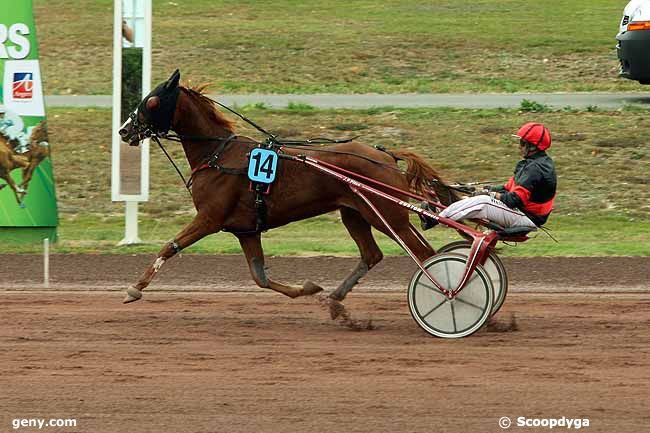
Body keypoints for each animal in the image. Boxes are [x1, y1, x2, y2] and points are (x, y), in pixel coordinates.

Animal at [119, 69, 458, 316]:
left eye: (151, 101)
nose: (124, 130)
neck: (218, 155)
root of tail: (386, 156)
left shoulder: (209, 218)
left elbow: (169, 246)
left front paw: (135, 288)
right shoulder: (246, 230)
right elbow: (260, 277)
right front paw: (307, 289)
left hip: (387, 214)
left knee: (425, 255)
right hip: (355, 213)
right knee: (372, 254)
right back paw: (335, 300)